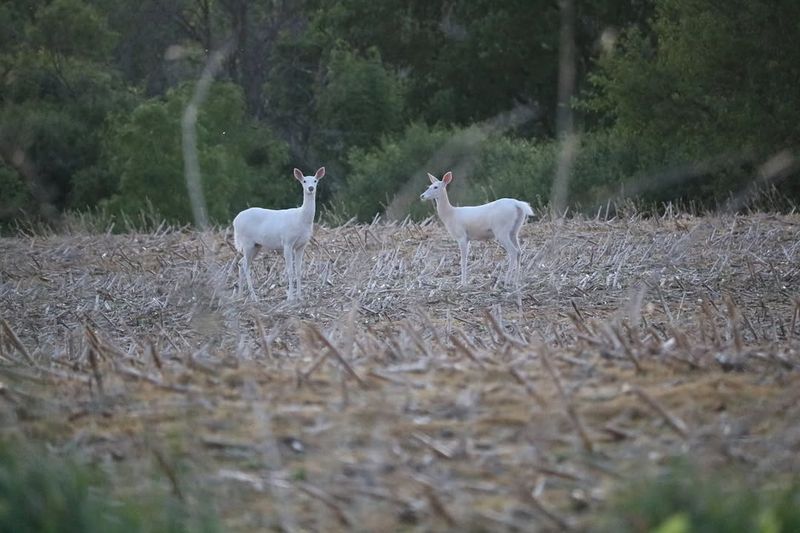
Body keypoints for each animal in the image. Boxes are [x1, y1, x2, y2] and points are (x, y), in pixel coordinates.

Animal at [233, 167, 325, 301]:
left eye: (315, 180)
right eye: (304, 181)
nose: (311, 188)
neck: (301, 219)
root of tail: (235, 221)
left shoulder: (301, 245)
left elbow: (298, 270)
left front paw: (300, 297)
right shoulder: (287, 242)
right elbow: (290, 271)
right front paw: (290, 298)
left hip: (256, 245)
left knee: (241, 263)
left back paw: (240, 295)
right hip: (247, 242)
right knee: (245, 265)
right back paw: (254, 297)